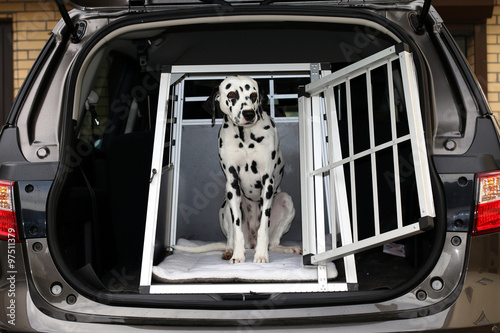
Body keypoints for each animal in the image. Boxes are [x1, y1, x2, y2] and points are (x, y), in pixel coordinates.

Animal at [176, 76, 300, 262]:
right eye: (232, 94)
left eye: (254, 95)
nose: (249, 114)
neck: (245, 136)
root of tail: (251, 243)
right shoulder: (232, 183)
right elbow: (237, 229)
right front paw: (238, 255)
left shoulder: (267, 182)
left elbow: (263, 227)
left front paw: (261, 255)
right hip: (226, 205)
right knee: (231, 238)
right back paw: (230, 250)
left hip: (286, 201)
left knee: (272, 243)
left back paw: (285, 248)